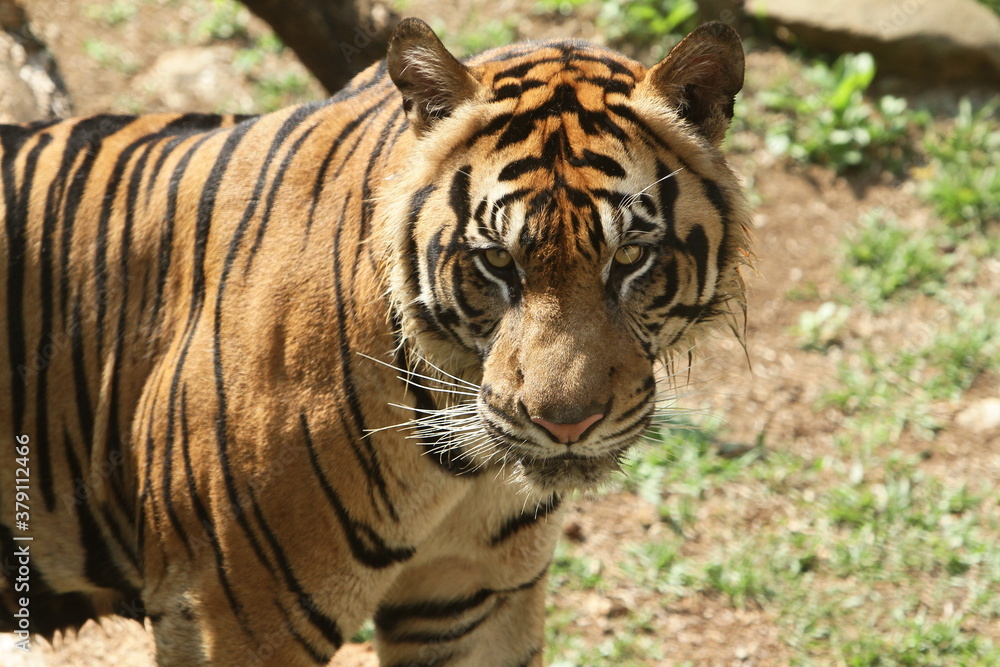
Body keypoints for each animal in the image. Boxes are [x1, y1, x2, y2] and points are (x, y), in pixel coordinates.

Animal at [0, 17, 750, 666]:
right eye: (497, 262)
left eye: (629, 257)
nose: (566, 425)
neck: (460, 463)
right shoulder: (227, 612)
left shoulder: (474, 594)